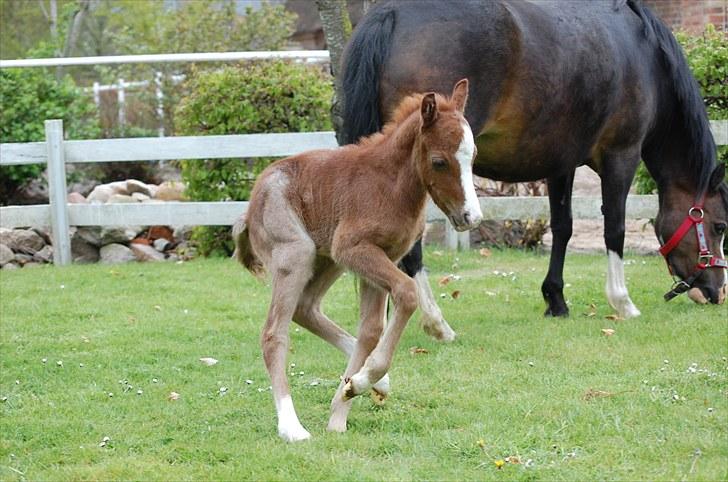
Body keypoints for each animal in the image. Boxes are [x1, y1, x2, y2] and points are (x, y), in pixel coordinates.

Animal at [235, 81, 484, 442]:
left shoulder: (381, 256)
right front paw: (359, 383)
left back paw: (372, 384)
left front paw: (346, 400)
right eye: (438, 161)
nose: (471, 217)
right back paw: (291, 427)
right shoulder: (355, 249)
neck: (390, 184)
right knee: (273, 333)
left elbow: (371, 329)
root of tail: (251, 203)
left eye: (473, 156)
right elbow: (407, 293)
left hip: (328, 259)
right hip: (298, 254)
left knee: (305, 309)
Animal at [342, 0, 728, 328]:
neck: (643, 53)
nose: (716, 291)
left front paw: (555, 299)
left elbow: (563, 227)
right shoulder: (622, 155)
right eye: (721, 226)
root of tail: (393, 12)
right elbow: (614, 228)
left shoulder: (561, 165)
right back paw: (434, 319)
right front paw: (622, 302)